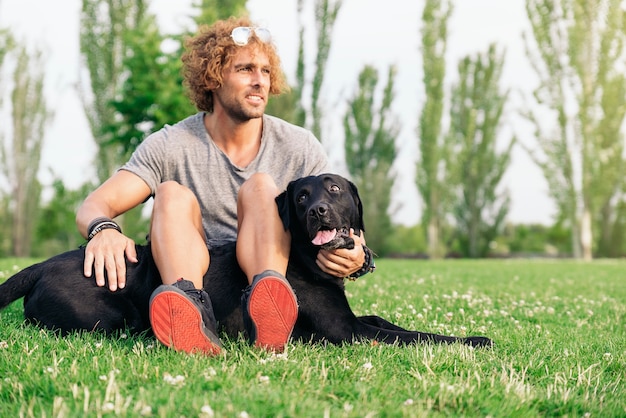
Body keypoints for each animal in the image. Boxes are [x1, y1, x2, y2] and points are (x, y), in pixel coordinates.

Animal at [0, 173, 490, 350]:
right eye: (301, 196)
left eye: (333, 189)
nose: (317, 211)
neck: (304, 258)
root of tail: (43, 264)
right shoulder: (347, 332)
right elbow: (417, 336)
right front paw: (473, 340)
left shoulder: (355, 319)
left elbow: (390, 322)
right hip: (112, 317)